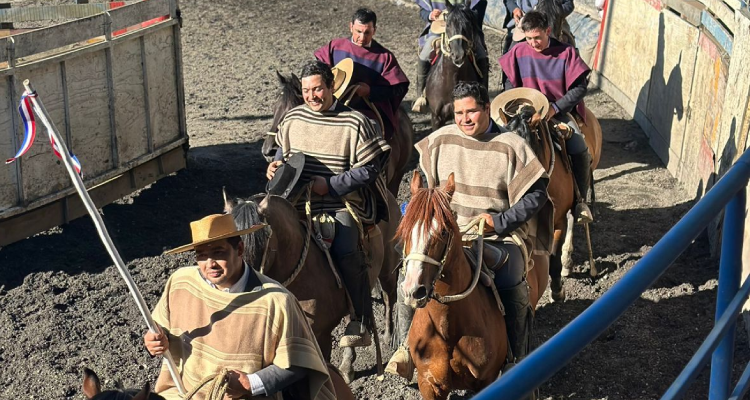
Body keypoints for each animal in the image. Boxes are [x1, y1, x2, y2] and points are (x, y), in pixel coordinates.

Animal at [396, 173, 548, 400]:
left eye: (443, 231)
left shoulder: (485, 381)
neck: (447, 327)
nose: (414, 291)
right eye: (405, 229)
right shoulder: (429, 384)